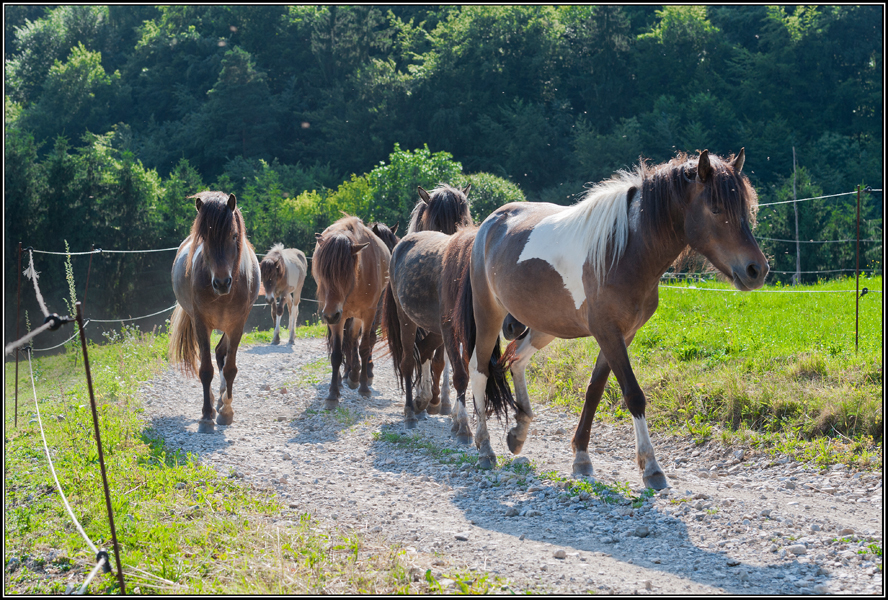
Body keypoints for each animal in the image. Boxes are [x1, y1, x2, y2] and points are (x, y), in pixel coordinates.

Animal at [170, 191, 260, 432]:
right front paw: (206, 415)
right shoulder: (201, 323)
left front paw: (226, 411)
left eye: (234, 236)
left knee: (221, 353)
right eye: (205, 238)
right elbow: (205, 370)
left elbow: (229, 368)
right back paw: (212, 402)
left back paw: (221, 400)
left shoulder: (237, 324)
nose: (221, 283)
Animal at [316, 216, 392, 408]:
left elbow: (364, 347)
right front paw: (332, 394)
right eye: (322, 273)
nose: (329, 314)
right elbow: (336, 354)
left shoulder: (368, 314)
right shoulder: (338, 317)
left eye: (344, 273)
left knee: (353, 340)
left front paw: (364, 386)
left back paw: (355, 376)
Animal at [454, 151, 768, 488]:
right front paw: (652, 467)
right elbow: (633, 394)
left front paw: (581, 457)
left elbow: (594, 390)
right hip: (488, 315)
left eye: (745, 208)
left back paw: (519, 431)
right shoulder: (607, 332)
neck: (626, 251)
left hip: (545, 325)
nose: (757, 269)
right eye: (716, 208)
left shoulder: (622, 335)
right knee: (479, 370)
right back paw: (485, 448)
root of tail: (489, 224)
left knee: (517, 360)